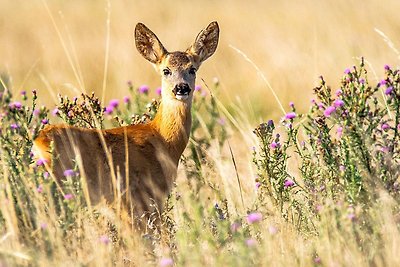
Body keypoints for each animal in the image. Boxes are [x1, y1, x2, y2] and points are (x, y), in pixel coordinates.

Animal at [33, 21, 219, 226]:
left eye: (192, 69)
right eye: (166, 70)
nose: (181, 88)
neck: (163, 140)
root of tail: (38, 143)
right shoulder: (143, 196)